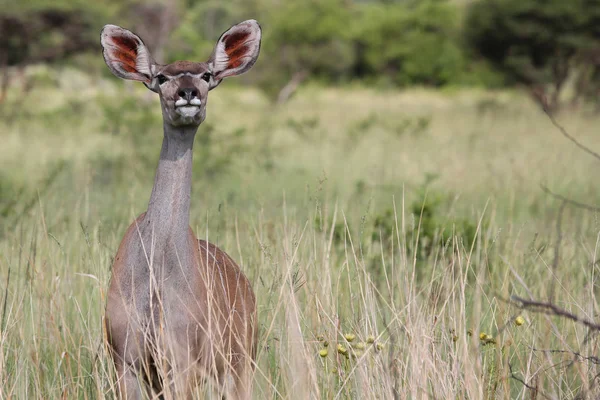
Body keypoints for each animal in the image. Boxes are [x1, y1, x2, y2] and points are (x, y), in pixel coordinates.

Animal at [100, 19, 260, 400]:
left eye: (206, 74)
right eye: (161, 77)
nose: (188, 94)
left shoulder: (182, 363)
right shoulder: (126, 362)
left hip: (239, 364)